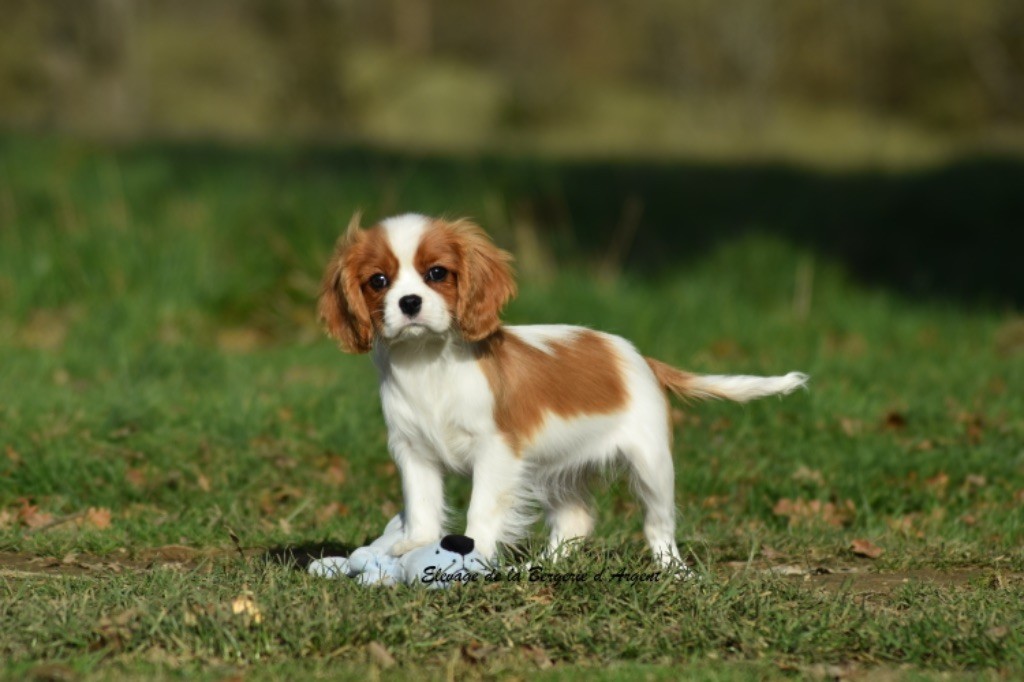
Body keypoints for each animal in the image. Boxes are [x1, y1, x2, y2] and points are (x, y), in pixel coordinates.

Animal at [319, 215, 806, 565]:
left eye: (437, 273)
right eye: (378, 281)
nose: (409, 303)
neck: (428, 362)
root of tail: (640, 357)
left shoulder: (496, 451)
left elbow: (481, 508)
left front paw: (473, 551)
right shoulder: (412, 450)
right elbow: (421, 504)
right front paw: (413, 545)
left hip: (650, 464)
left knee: (659, 525)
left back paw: (673, 572)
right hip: (553, 470)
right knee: (575, 521)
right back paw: (543, 567)